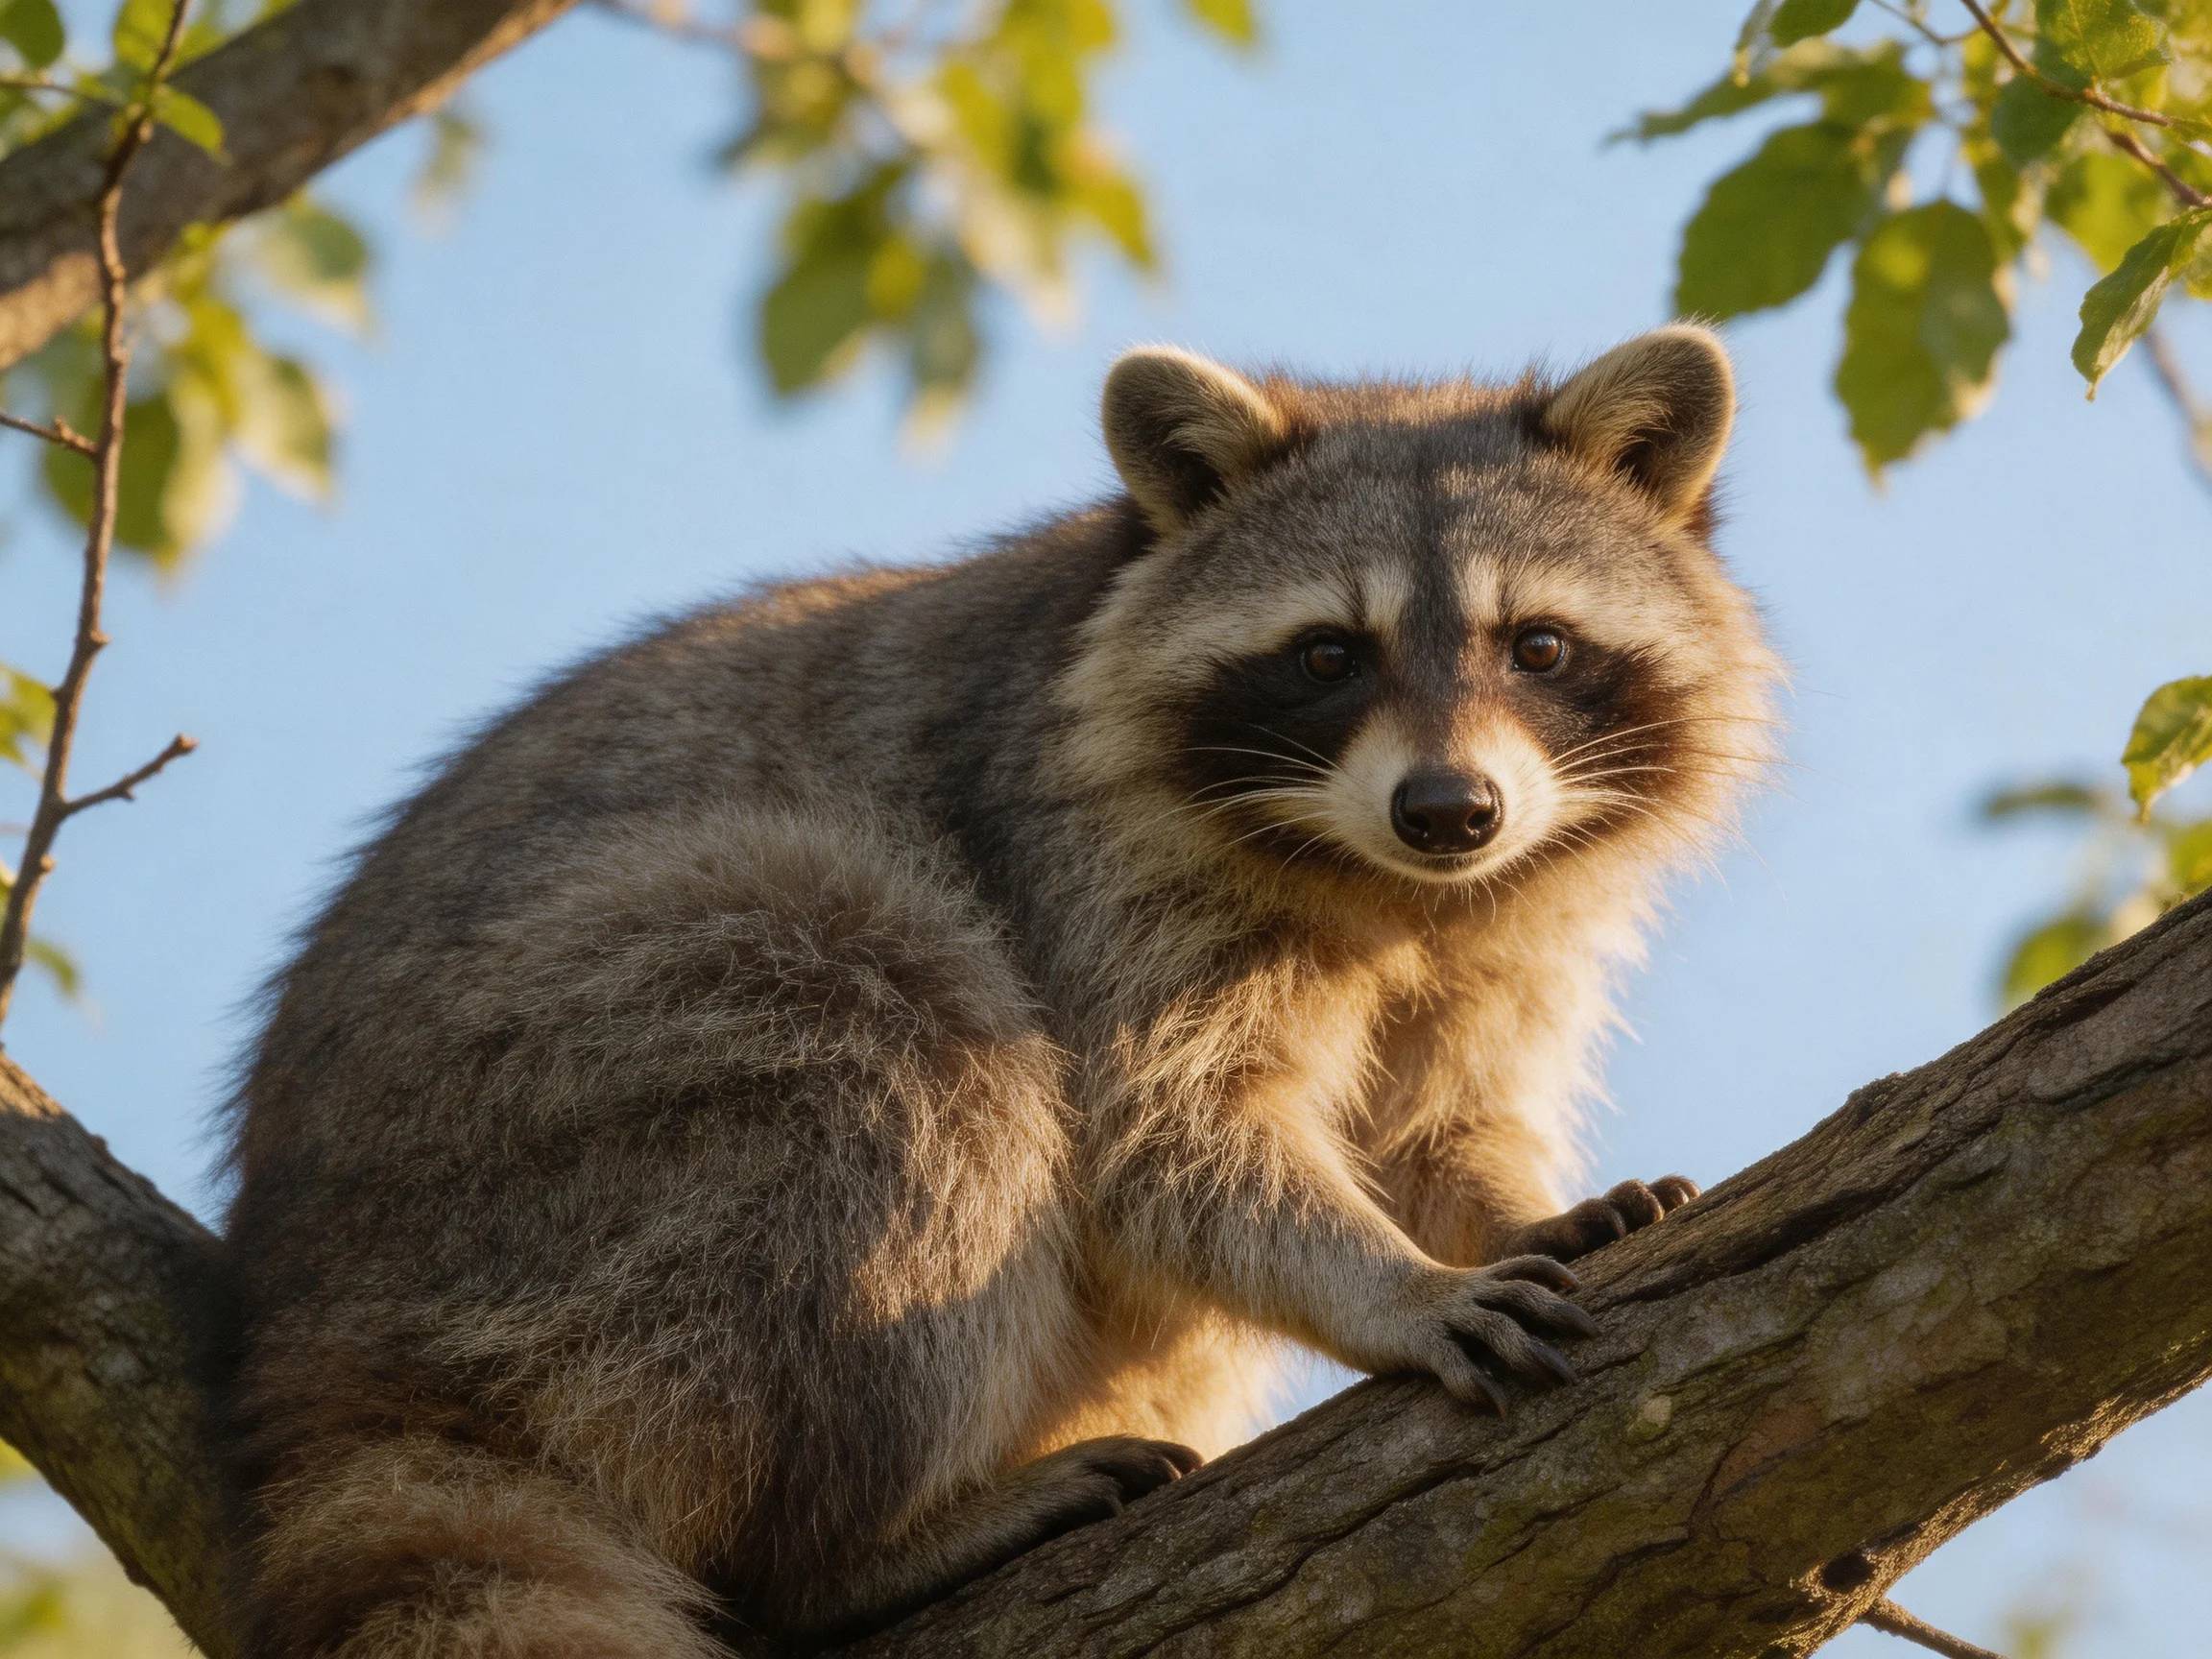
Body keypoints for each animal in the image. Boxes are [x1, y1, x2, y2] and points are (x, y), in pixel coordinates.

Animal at [217, 325, 1780, 1656]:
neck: (1394, 889)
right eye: (1330, 655)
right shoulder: (1083, 866)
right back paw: (856, 1545)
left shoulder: (1506, 928)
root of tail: (313, 1328)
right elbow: (1167, 1152)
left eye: (1540, 646)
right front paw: (1391, 1283)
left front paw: (1515, 1205)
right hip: (569, 1113)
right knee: (885, 1044)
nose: (1449, 809)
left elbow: (1440, 1116)